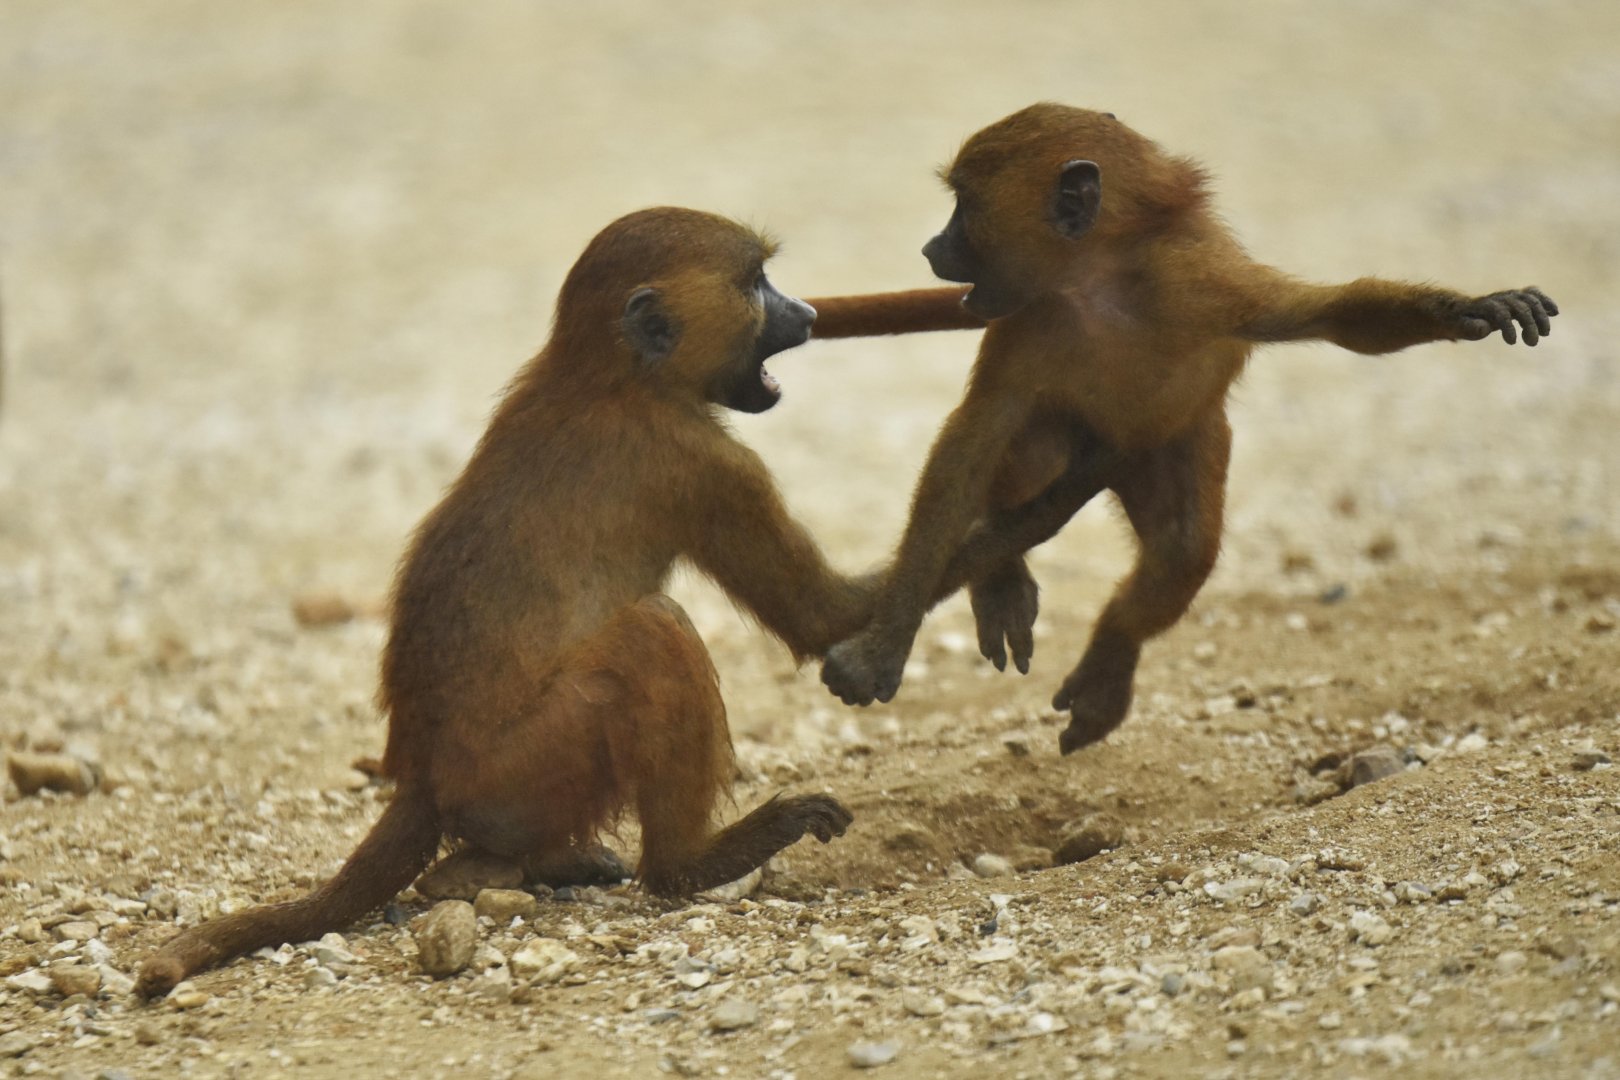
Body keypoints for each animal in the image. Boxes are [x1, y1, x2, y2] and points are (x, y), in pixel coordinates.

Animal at [138, 208, 875, 996]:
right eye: (755, 284)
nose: (808, 314)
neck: (615, 378)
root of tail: (423, 777)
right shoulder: (711, 467)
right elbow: (825, 615)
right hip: (524, 767)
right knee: (652, 631)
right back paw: (691, 864)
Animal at [818, 103, 1557, 756]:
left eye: (964, 208)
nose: (931, 247)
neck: (1099, 280)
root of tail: (1117, 460)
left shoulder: (1204, 282)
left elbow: (1329, 315)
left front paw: (1469, 307)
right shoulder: (1025, 323)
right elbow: (972, 440)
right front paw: (889, 640)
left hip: (1176, 441)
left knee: (1181, 549)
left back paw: (1111, 658)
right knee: (1031, 451)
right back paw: (1002, 576)